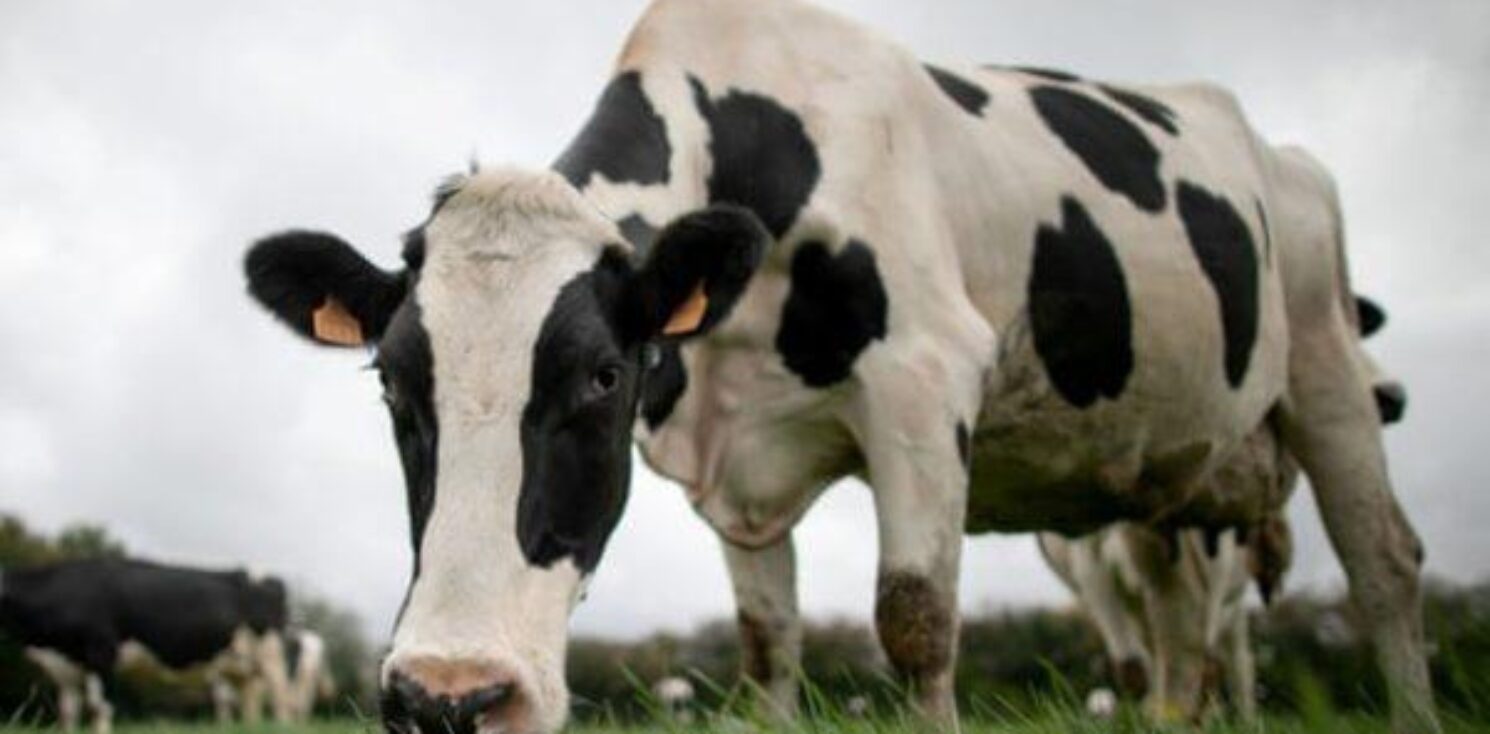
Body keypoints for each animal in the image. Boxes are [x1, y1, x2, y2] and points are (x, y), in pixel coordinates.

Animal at [0, 558, 293, 733]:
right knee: (249, 699)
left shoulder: (102, 651)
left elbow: (100, 707)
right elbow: (68, 711)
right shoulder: (65, 668)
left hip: (271, 654)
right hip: (240, 662)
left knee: (280, 695)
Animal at [1039, 299, 1408, 721]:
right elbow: (1134, 667)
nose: (1391, 398)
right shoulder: (1090, 568)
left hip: (1233, 602)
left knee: (1236, 663)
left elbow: (1202, 656)